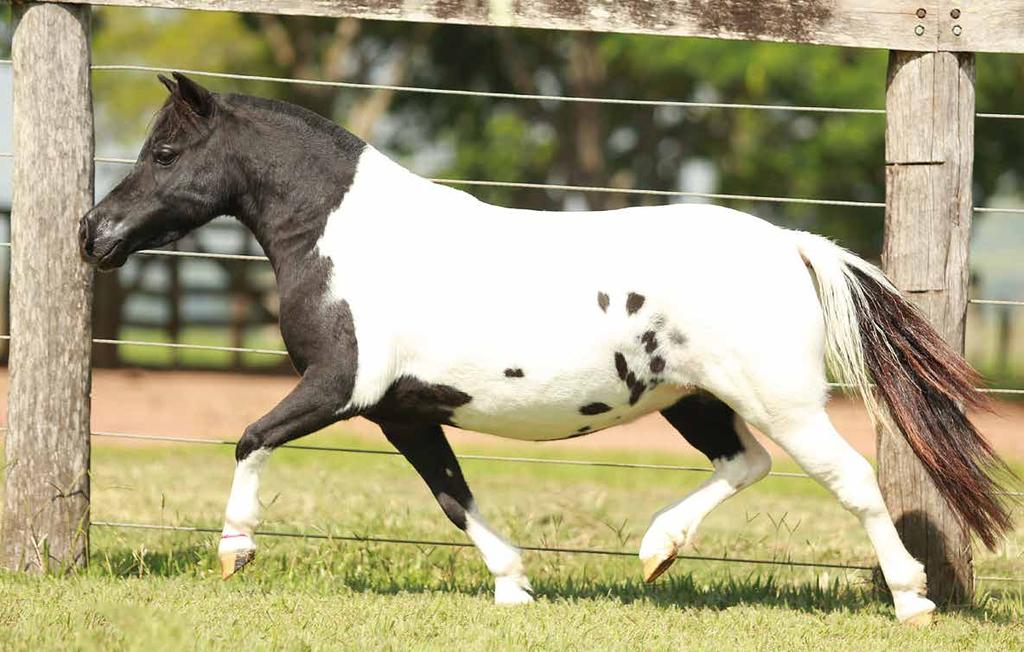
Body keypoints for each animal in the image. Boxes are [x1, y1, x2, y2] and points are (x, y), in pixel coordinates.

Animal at [75, 72, 1011, 626]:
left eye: (165, 151)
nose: (93, 233)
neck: (347, 241)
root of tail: (787, 244)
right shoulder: (401, 413)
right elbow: (453, 496)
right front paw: (515, 585)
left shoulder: (340, 387)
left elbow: (249, 437)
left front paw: (234, 550)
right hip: (696, 400)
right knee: (746, 465)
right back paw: (655, 551)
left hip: (779, 399)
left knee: (848, 478)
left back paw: (911, 600)